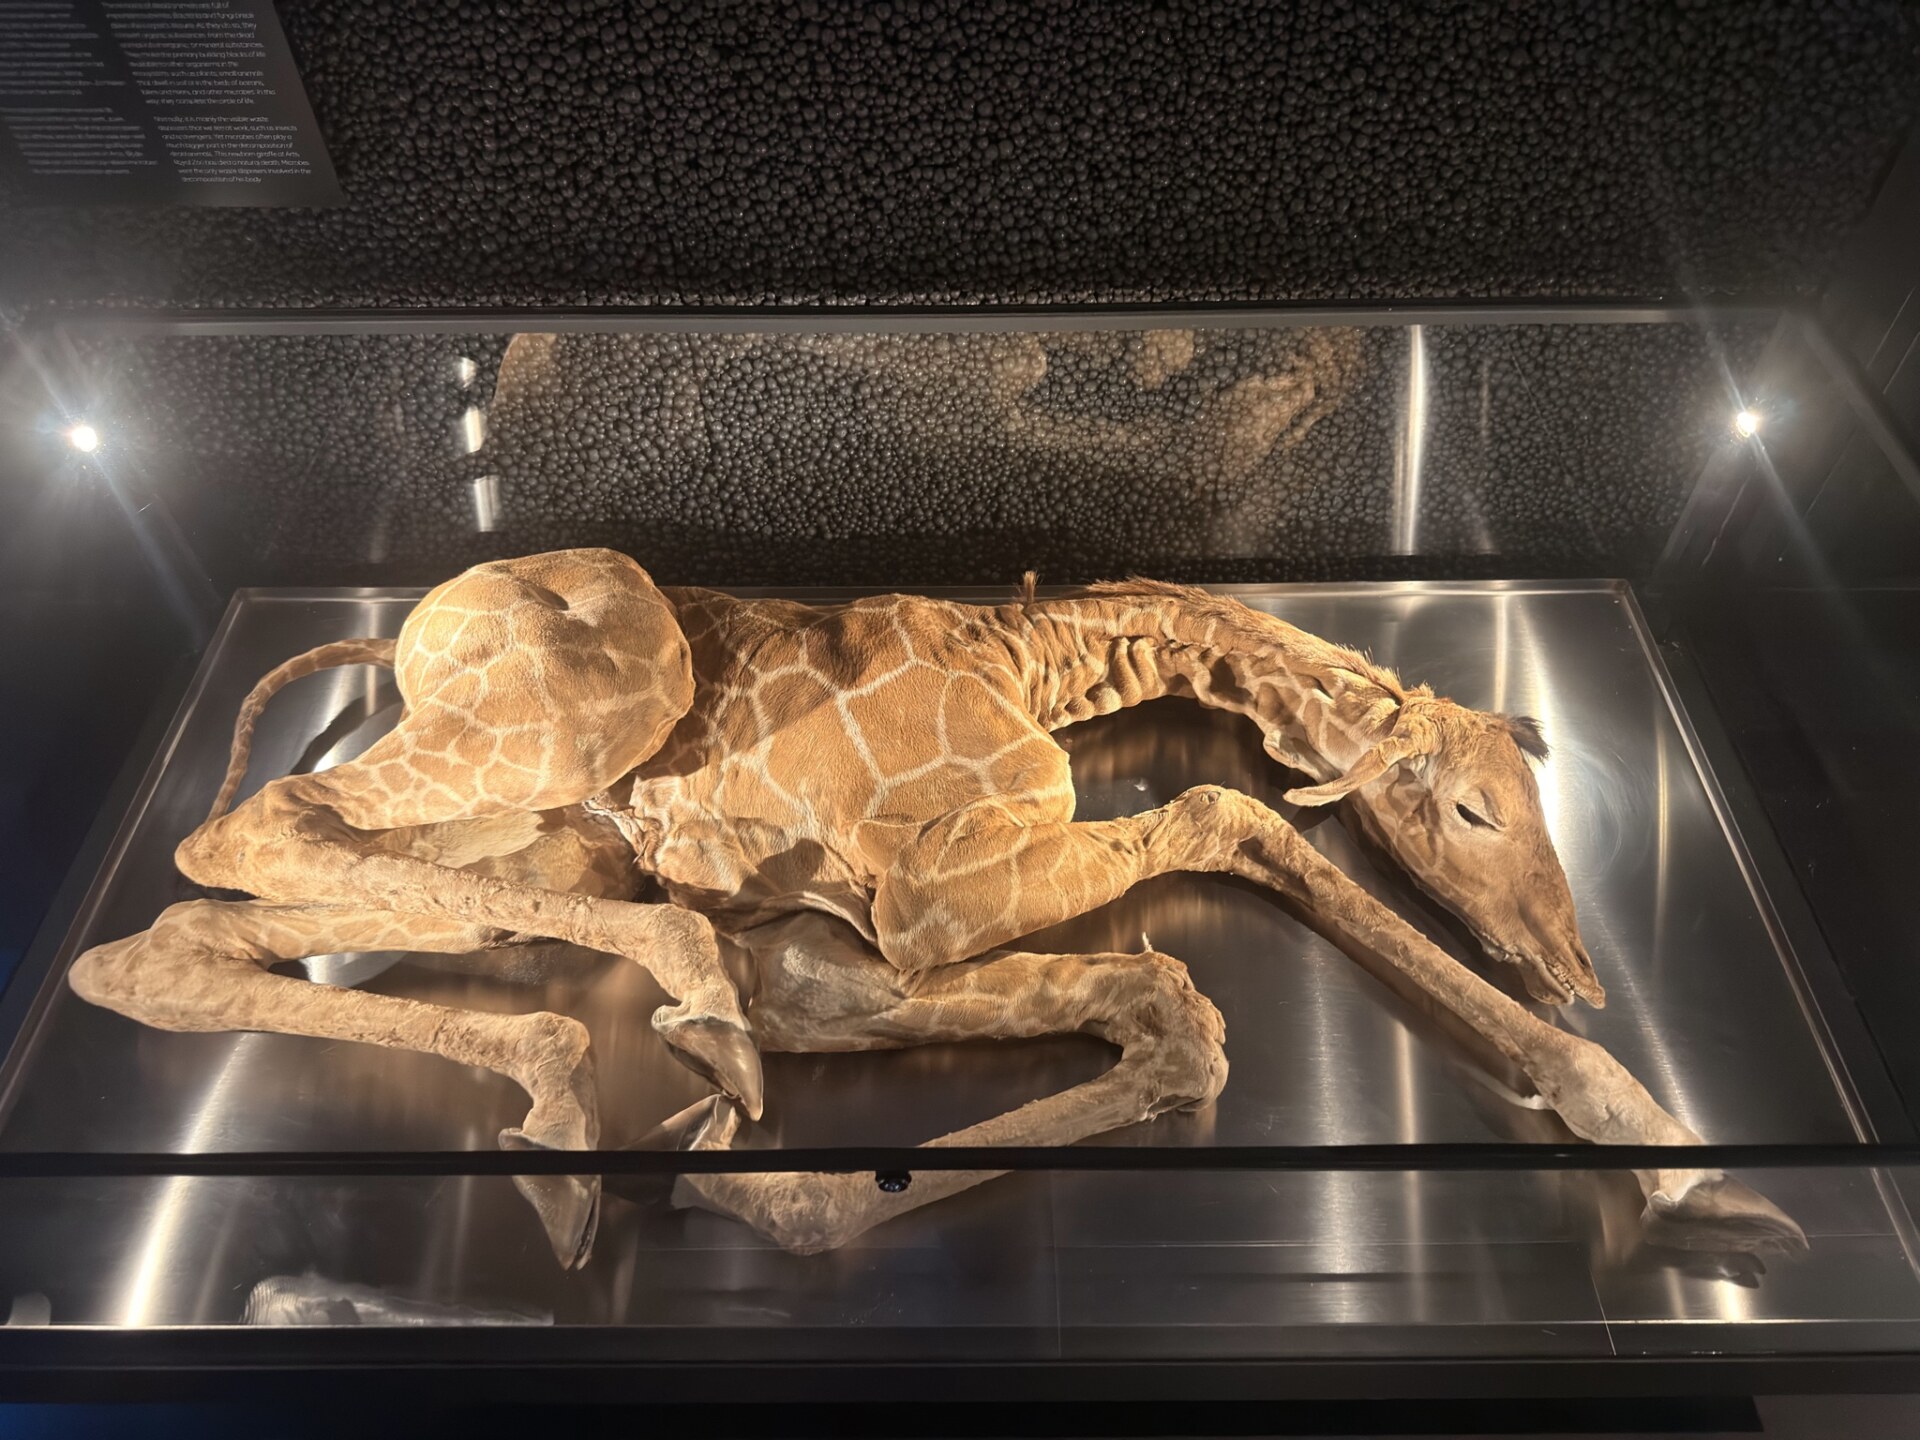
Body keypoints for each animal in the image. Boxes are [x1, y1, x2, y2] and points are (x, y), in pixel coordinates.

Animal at [67, 549, 1804, 1268]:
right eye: (1471, 808)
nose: (1577, 970)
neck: (1030, 662)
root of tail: (408, 631)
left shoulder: (829, 940)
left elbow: (1159, 1004)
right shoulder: (915, 891)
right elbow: (1223, 813)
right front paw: (1657, 1137)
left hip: (542, 847)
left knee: (158, 947)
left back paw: (572, 1098)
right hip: (570, 708)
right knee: (247, 827)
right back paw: (626, 1043)